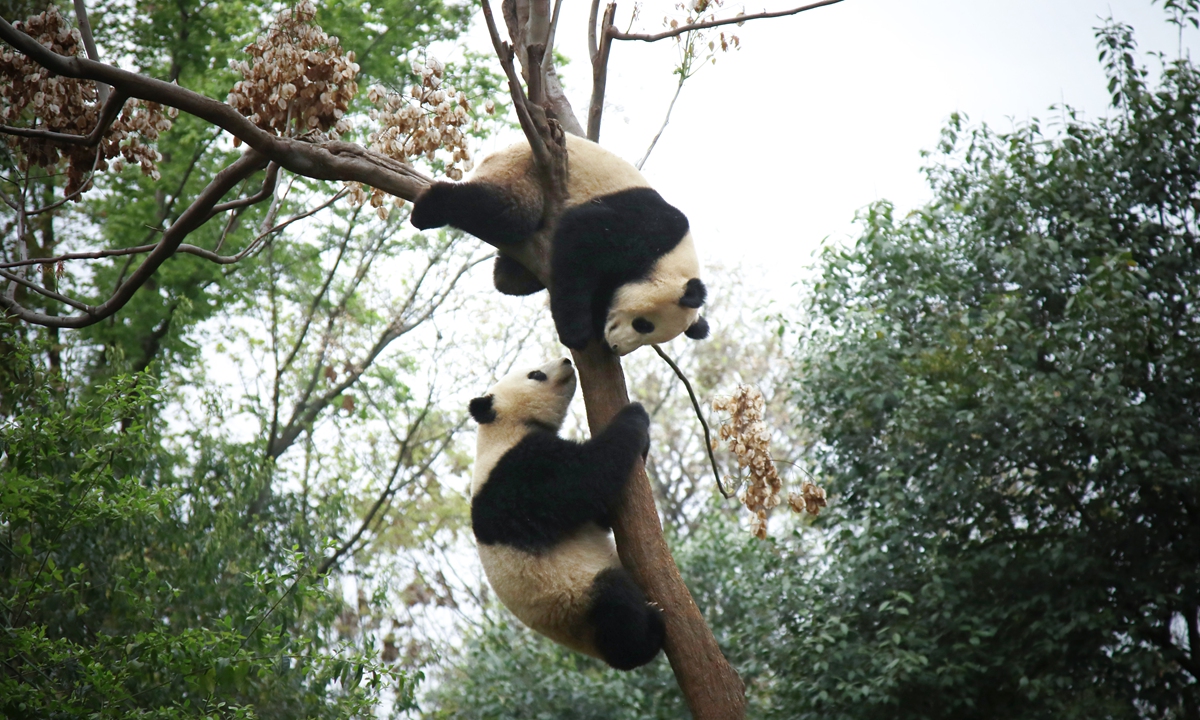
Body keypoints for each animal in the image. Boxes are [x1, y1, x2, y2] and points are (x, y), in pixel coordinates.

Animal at [411, 134, 710, 356]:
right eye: (644, 325)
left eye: (650, 338)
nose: (615, 348)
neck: (669, 257)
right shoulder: (646, 228)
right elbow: (581, 239)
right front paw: (576, 333)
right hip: (523, 168)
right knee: (508, 211)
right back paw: (429, 208)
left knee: (511, 273)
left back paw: (509, 273)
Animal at [467, 357, 666, 670]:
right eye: (535, 374)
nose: (566, 360)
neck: (502, 428)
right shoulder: (515, 473)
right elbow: (583, 479)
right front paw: (634, 413)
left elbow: (601, 512)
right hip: (575, 601)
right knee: (614, 600)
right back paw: (647, 635)